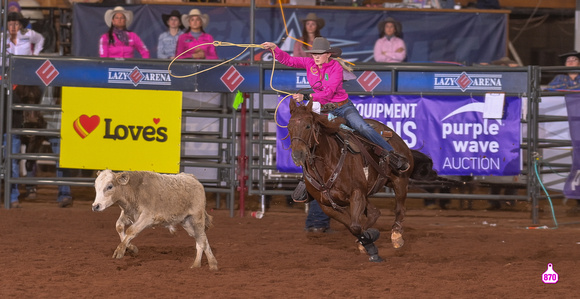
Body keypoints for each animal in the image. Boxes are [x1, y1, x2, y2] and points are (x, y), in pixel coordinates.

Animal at [288, 99, 432, 262]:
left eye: (307, 126)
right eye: (289, 127)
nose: (297, 155)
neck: (327, 164)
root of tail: (393, 134)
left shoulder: (356, 194)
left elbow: (355, 226)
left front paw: (371, 242)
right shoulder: (327, 206)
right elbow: (352, 226)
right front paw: (368, 243)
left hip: (400, 181)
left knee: (400, 209)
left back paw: (396, 236)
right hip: (367, 192)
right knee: (374, 212)